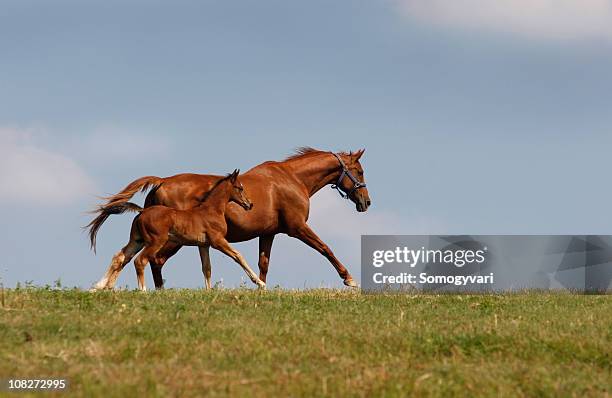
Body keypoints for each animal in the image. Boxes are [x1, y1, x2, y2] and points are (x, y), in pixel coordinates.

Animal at [86, 148, 370, 288]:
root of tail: (162, 181)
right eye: (359, 171)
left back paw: (103, 286)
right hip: (170, 240)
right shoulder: (298, 227)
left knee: (128, 257)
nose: (366, 202)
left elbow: (263, 263)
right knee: (153, 260)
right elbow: (326, 248)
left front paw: (261, 288)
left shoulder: (268, 233)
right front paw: (350, 280)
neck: (292, 179)